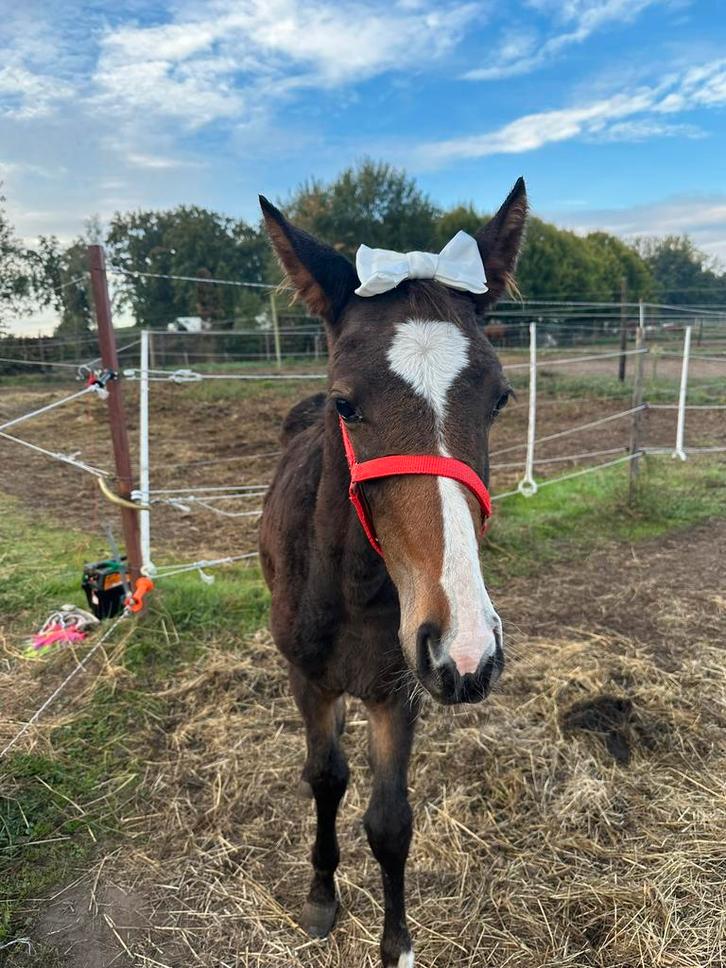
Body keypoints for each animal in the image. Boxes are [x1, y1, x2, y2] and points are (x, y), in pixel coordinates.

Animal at [258, 178, 527, 968]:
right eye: (348, 402)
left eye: (499, 398)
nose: (467, 649)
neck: (348, 586)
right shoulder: (309, 679)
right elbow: (325, 780)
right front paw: (321, 898)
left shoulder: (398, 690)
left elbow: (389, 822)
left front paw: (397, 943)